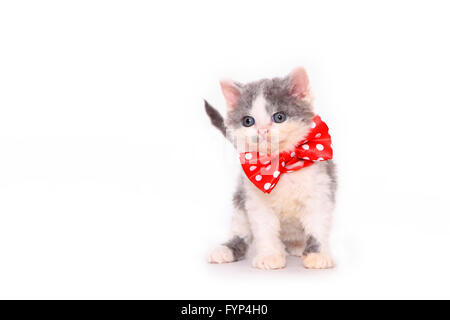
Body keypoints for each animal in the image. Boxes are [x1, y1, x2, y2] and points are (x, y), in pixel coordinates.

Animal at [206, 68, 336, 270]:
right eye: (248, 121)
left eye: (279, 117)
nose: (262, 130)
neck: (280, 164)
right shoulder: (255, 198)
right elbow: (265, 228)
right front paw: (270, 256)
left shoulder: (320, 190)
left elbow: (317, 225)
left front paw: (318, 255)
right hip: (240, 202)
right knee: (240, 232)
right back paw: (226, 249)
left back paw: (299, 247)